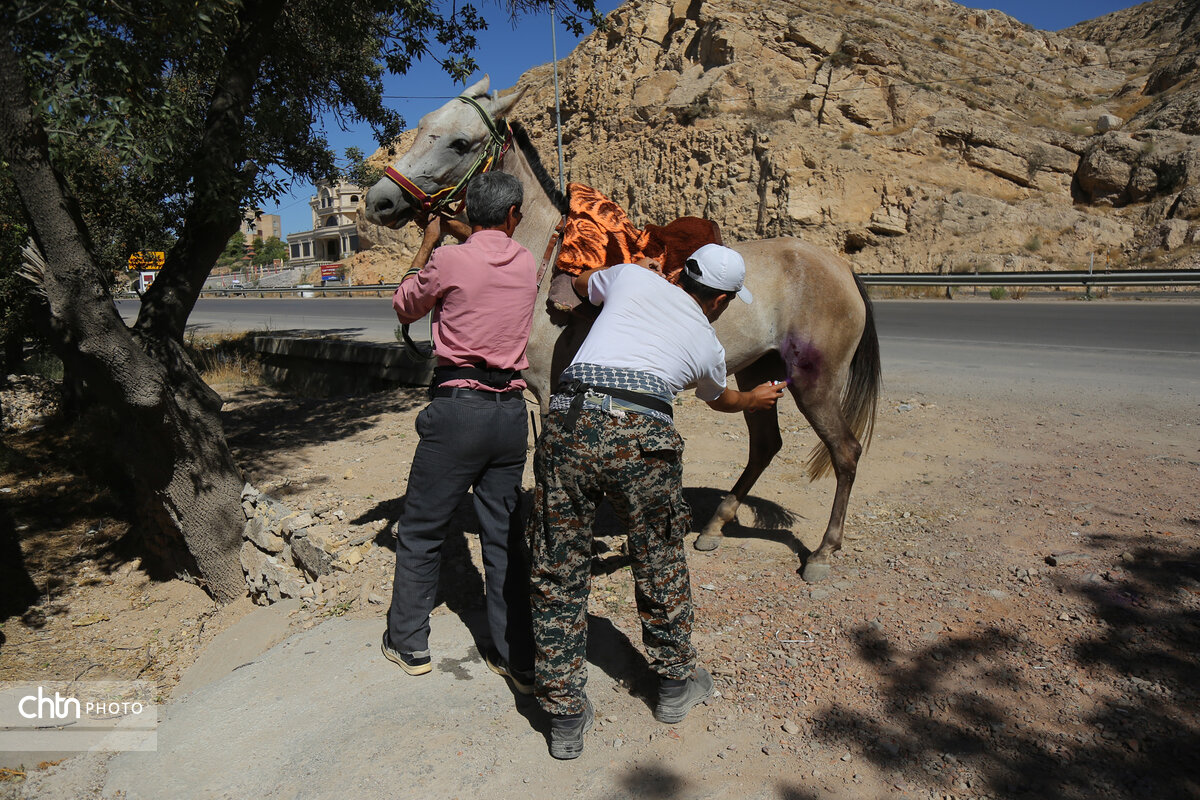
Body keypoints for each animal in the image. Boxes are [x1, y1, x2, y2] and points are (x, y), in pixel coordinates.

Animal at [357, 74, 883, 582]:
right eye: (424, 124)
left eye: (461, 142)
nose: (378, 201)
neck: (544, 260)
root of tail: (840, 267)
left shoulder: (551, 393)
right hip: (758, 373)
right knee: (766, 445)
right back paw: (714, 527)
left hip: (816, 384)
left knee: (846, 452)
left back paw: (822, 553)